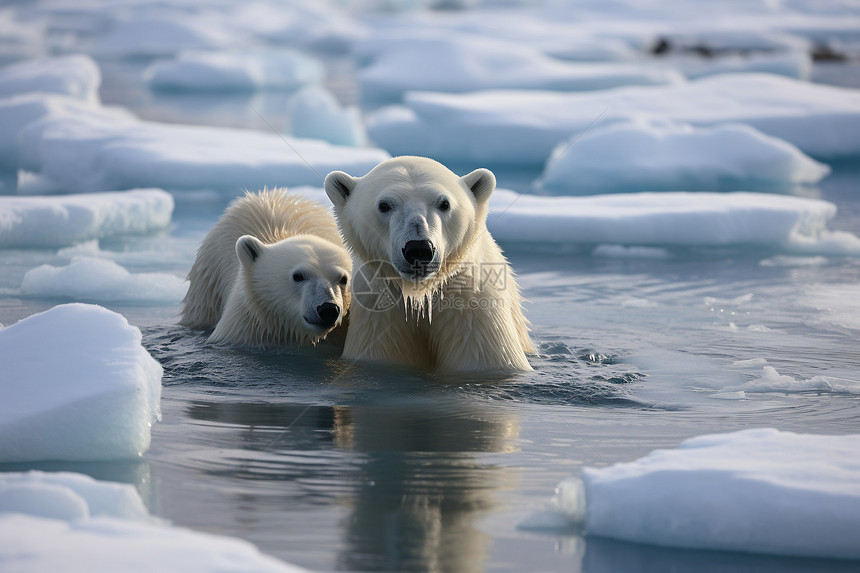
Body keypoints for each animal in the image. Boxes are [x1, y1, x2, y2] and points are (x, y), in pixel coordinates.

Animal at [326, 156, 536, 370]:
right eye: (384, 205)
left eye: (444, 203)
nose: (419, 248)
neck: (420, 292)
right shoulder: (379, 311)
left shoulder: (471, 305)